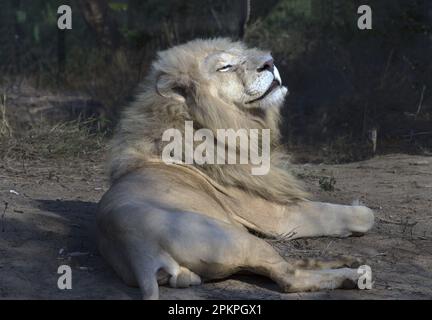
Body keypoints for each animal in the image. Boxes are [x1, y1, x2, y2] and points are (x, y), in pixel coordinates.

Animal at [96, 38, 372, 298]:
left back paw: (349, 261)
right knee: (288, 276)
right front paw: (360, 210)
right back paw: (355, 275)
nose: (270, 62)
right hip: (238, 239)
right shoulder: (279, 217)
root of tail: (137, 251)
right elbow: (356, 215)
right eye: (225, 66)